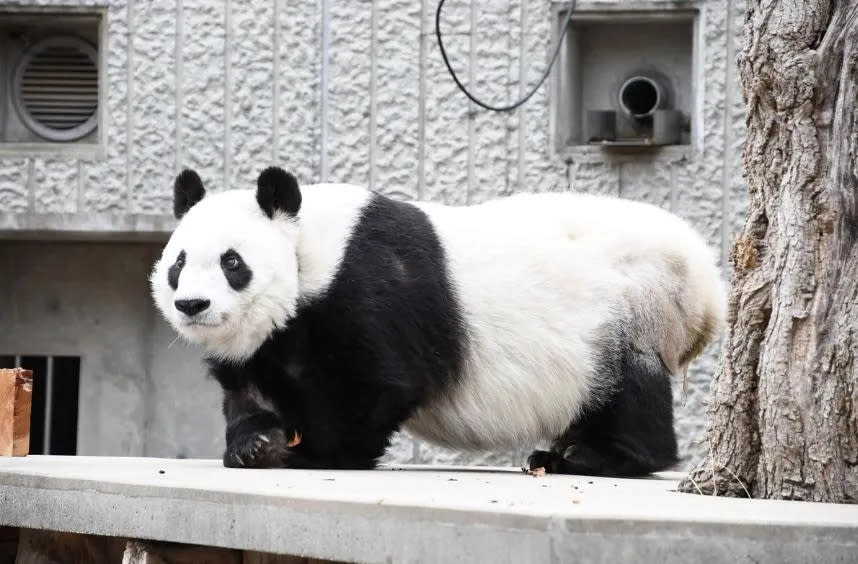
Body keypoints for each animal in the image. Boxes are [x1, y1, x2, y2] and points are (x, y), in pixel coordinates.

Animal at [150, 166, 724, 476]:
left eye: (232, 262)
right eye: (179, 262)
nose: (193, 306)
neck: (308, 248)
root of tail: (704, 281)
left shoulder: (366, 284)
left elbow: (379, 381)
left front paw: (318, 454)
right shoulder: (273, 340)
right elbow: (249, 391)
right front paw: (256, 445)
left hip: (628, 310)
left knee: (630, 393)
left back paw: (590, 456)